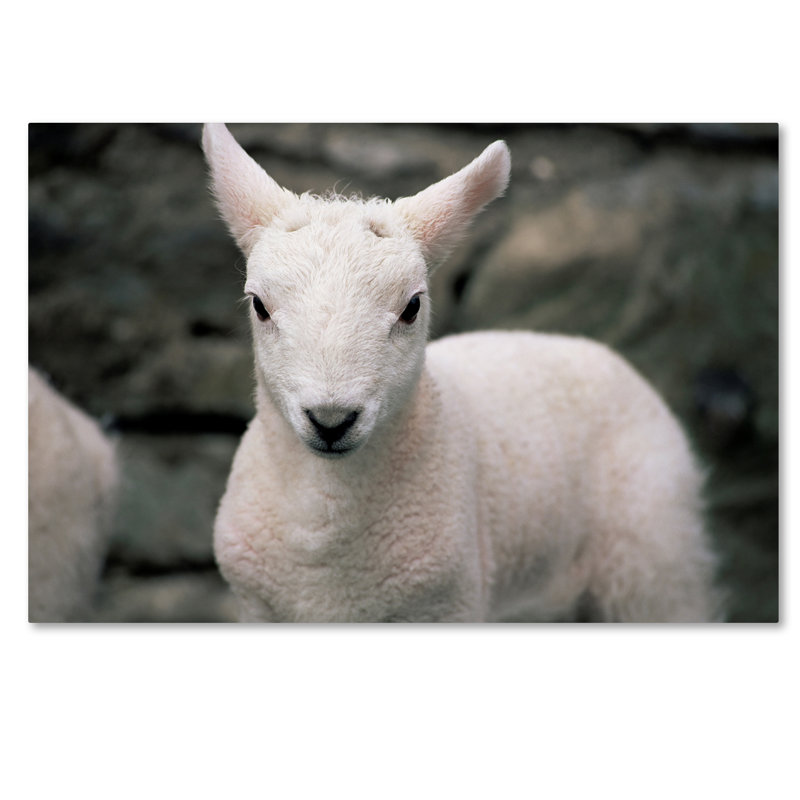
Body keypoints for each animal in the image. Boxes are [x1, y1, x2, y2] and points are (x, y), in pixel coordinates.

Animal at [203, 123, 723, 623]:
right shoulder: (259, 607)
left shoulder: (444, 602)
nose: (332, 419)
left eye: (412, 307)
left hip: (653, 555)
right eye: (259, 306)